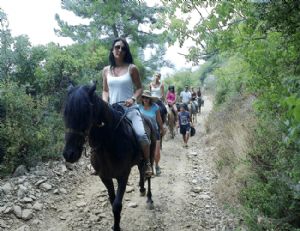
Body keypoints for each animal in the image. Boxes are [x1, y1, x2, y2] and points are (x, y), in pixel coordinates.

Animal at [63, 83, 157, 231]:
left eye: (86, 111)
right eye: (65, 112)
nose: (69, 154)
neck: (109, 142)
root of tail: (147, 119)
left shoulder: (123, 175)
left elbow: (117, 205)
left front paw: (117, 227)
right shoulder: (105, 177)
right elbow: (112, 201)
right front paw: (115, 225)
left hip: (151, 153)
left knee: (148, 174)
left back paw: (149, 199)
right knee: (141, 169)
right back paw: (141, 189)